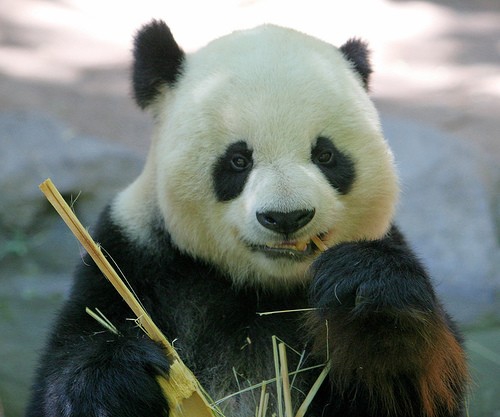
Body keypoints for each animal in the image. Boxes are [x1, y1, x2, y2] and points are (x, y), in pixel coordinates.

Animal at [25, 21, 466, 416]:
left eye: (325, 155)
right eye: (238, 160)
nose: (286, 217)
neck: (262, 289)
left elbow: (414, 387)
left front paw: (369, 295)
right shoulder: (131, 257)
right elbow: (69, 368)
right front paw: (120, 380)